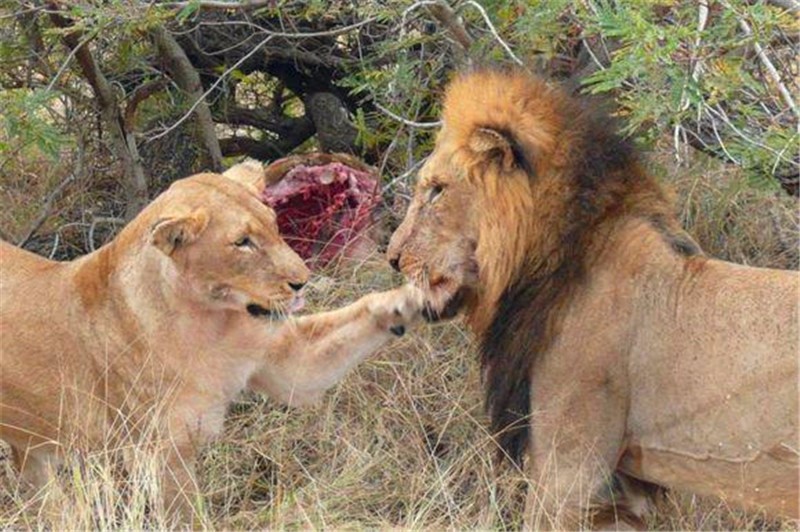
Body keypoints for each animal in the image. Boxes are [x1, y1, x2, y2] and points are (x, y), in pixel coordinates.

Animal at [0, 160, 422, 516]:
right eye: (242, 242)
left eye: (274, 224)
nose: (302, 281)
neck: (212, 323)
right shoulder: (159, 455)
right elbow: (189, 518)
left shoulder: (288, 362)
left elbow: (357, 318)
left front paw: (412, 298)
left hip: (31, 448)